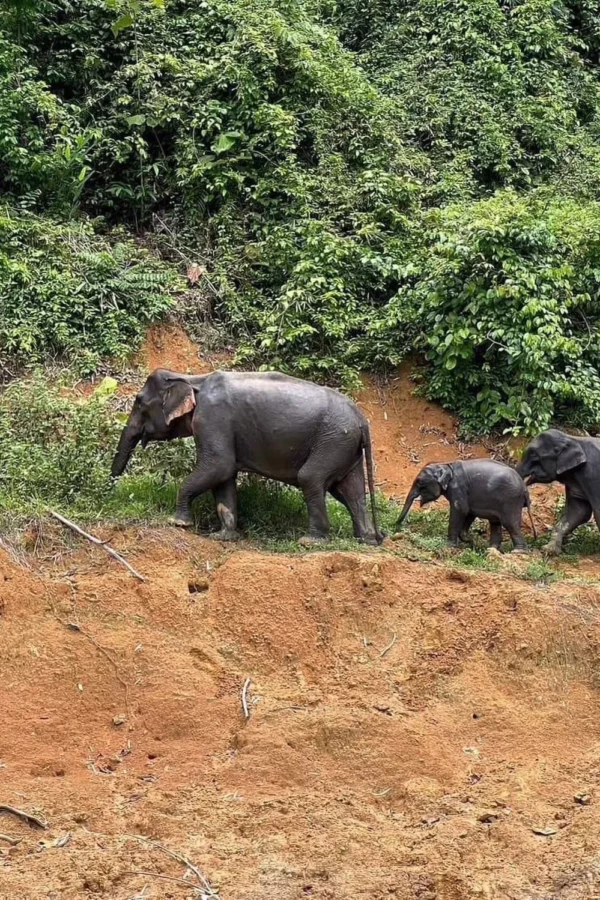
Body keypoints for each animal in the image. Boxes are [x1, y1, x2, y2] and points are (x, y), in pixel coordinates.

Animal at [111, 368, 383, 545]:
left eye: (138, 402)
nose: (112, 488)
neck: (192, 377)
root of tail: (362, 419)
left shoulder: (212, 419)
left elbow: (218, 466)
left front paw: (178, 523)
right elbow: (224, 477)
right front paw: (223, 537)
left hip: (333, 440)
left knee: (311, 478)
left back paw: (311, 541)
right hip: (344, 446)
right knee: (350, 491)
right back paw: (366, 540)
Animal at [396, 459, 536, 551]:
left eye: (420, 482)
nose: (395, 526)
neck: (446, 464)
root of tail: (525, 488)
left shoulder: (458, 488)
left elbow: (460, 510)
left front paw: (450, 545)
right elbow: (469, 512)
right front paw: (471, 541)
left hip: (511, 501)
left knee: (510, 523)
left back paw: (518, 551)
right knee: (495, 522)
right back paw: (491, 550)